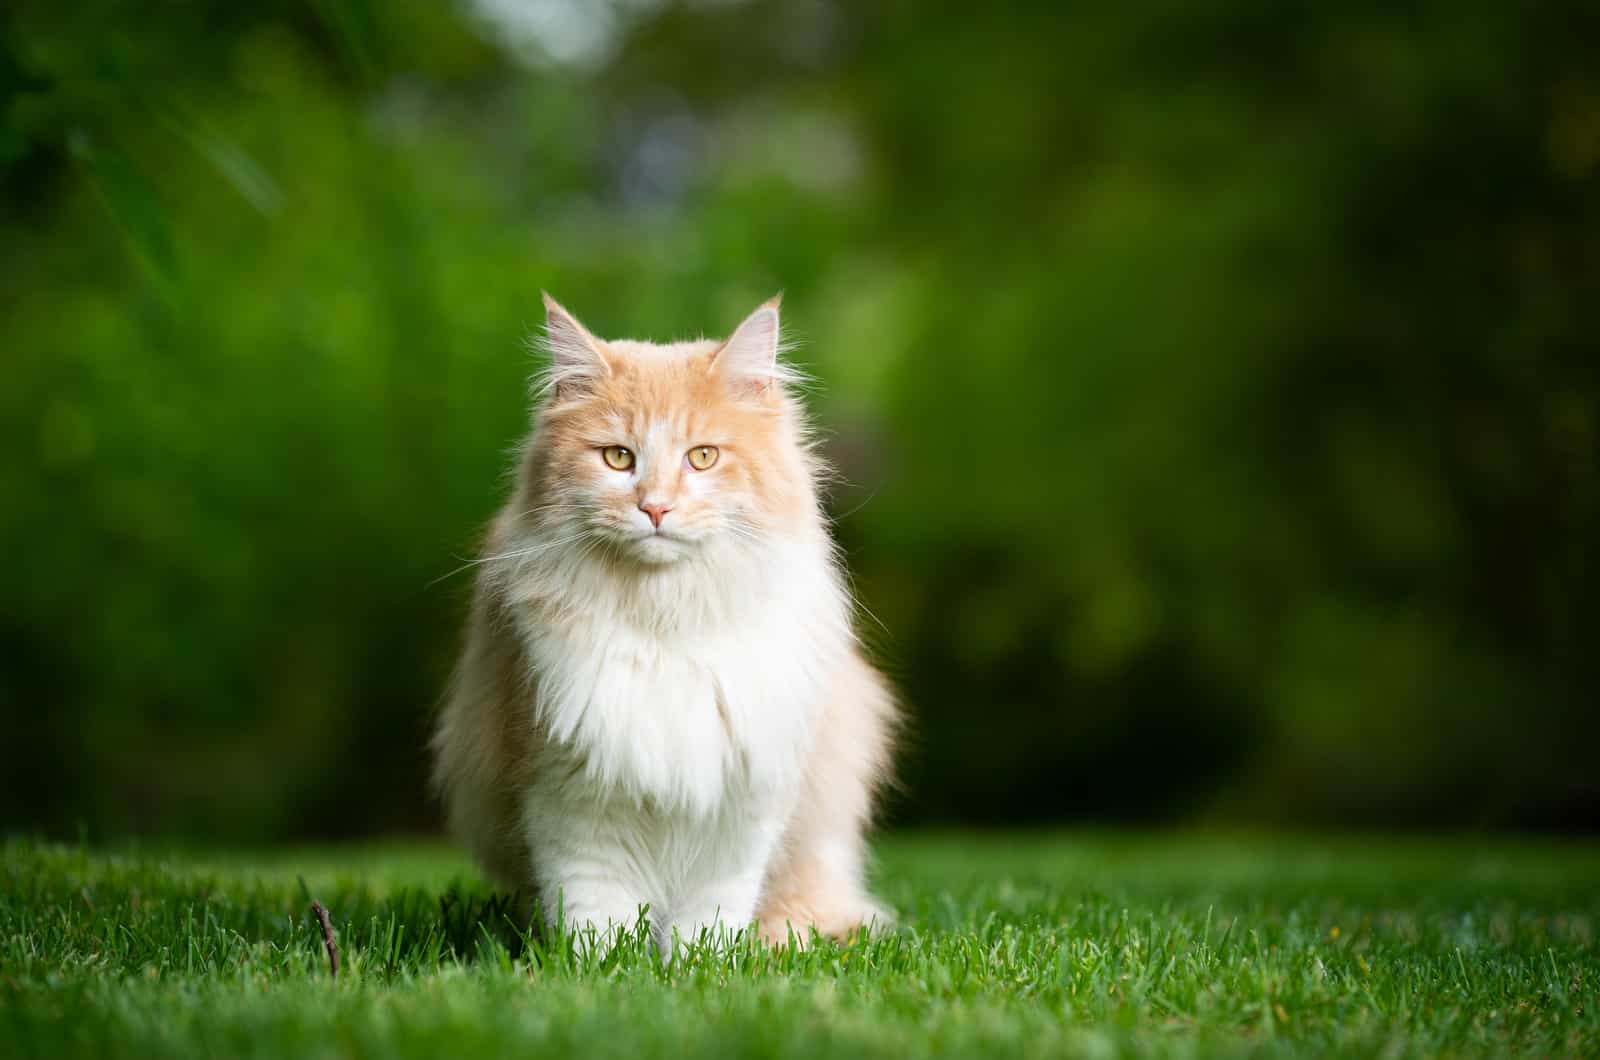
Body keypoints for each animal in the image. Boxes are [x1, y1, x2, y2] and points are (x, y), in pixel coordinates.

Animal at [428, 293, 902, 954]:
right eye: (618, 457)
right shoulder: (568, 792)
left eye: (702, 457)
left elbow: (707, 918)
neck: (667, 620)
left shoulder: (741, 801)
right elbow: (594, 908)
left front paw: (697, 962)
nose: (654, 507)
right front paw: (599, 963)